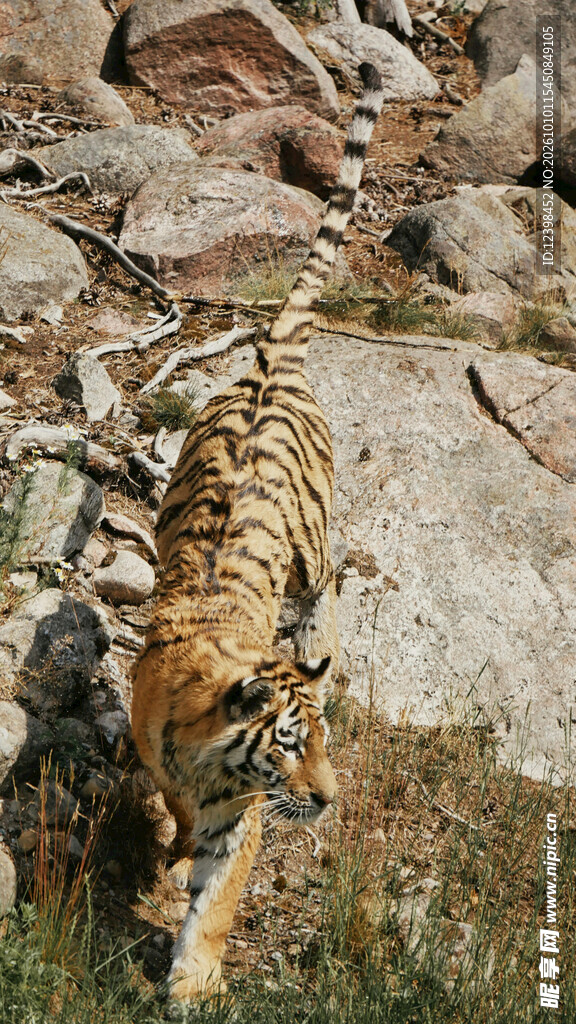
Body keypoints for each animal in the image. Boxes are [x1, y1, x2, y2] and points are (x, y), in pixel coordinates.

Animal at [131, 62, 385, 1003]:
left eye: (323, 745)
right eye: (289, 746)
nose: (328, 799)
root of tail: (271, 359)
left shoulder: (243, 817)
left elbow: (220, 895)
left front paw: (195, 979)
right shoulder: (169, 764)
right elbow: (176, 817)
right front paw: (171, 864)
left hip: (311, 555)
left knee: (329, 590)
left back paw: (324, 647)